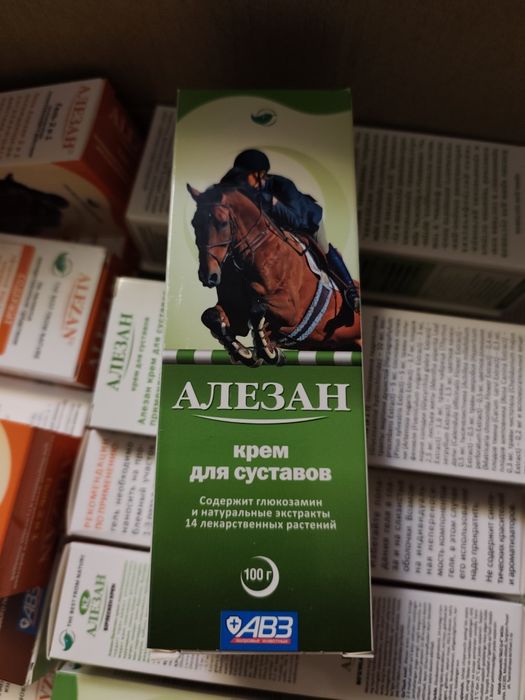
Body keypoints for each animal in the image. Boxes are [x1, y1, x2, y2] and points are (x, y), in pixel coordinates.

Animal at [187, 183, 361, 366]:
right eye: (194, 223)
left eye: (221, 223)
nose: (208, 276)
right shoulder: (235, 313)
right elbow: (210, 316)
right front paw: (243, 353)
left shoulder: (290, 310)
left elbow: (257, 309)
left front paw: (268, 351)